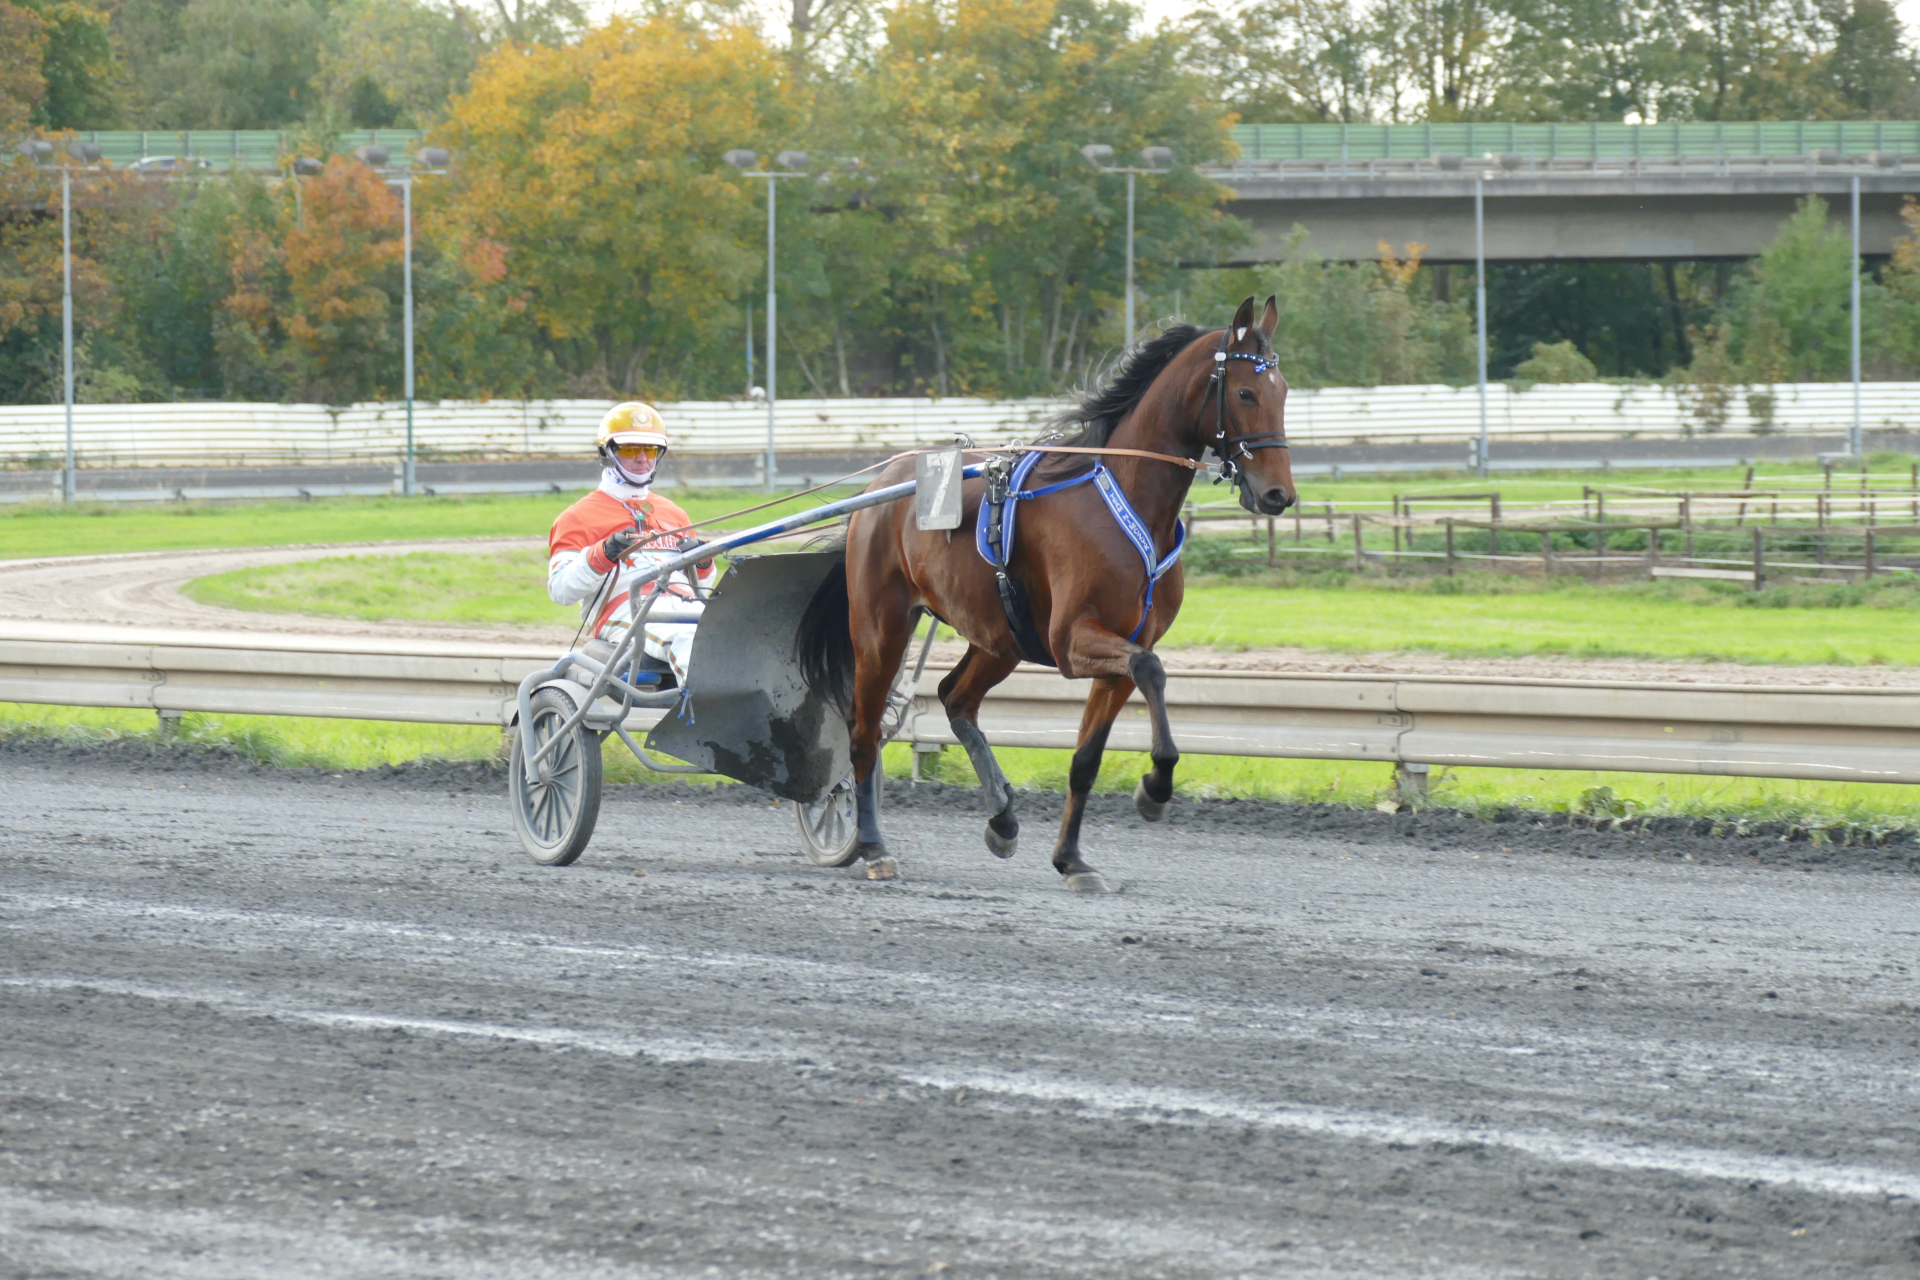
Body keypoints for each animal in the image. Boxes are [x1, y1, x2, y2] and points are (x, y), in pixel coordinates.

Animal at [794, 295, 1296, 891]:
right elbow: (1151, 669)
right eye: (1245, 392)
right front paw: (1154, 789)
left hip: (999, 636)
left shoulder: (1117, 651)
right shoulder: (1073, 641)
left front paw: (1072, 859)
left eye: (1283, 391)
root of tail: (876, 490)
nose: (1279, 494)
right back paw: (871, 845)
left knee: (955, 698)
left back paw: (1002, 818)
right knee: (864, 731)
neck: (1129, 500)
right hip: (881, 626)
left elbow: (1087, 759)